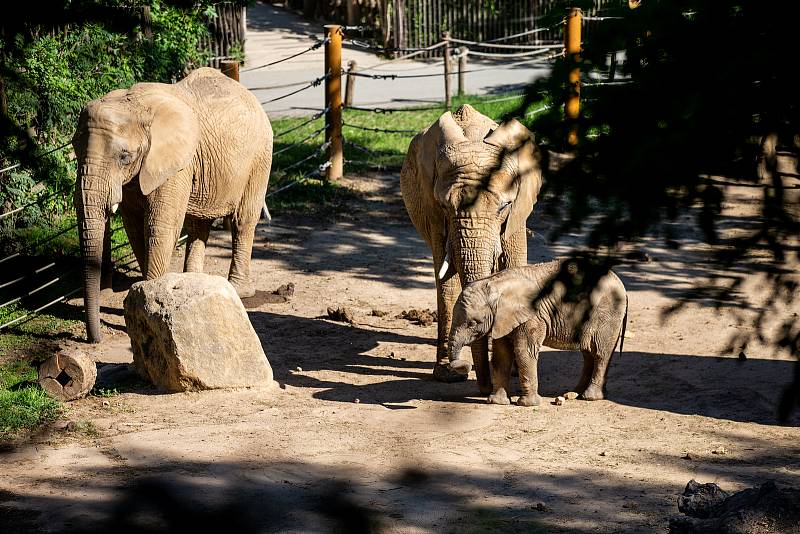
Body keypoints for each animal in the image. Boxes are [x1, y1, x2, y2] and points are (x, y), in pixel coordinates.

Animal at [72, 68, 272, 344]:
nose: (95, 340)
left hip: (260, 156)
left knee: (243, 220)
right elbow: (136, 229)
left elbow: (161, 227)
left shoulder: (176, 164)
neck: (133, 104)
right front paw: (147, 298)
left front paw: (148, 307)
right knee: (199, 224)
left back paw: (240, 289)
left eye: (124, 157)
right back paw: (192, 281)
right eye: (74, 148)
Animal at [400, 103, 544, 394]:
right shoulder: (434, 214)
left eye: (503, 207)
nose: (485, 388)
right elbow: (447, 282)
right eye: (445, 206)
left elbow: (512, 267)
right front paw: (448, 374)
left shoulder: (518, 210)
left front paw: (513, 368)